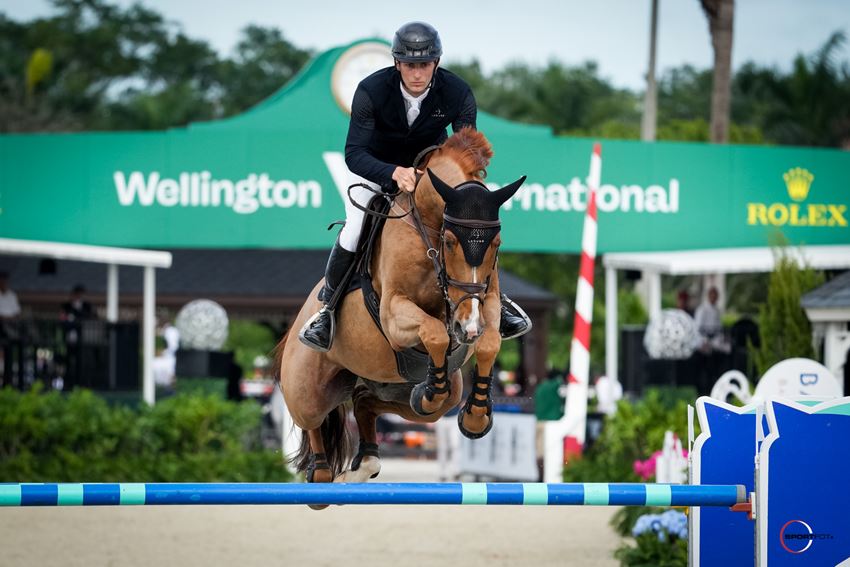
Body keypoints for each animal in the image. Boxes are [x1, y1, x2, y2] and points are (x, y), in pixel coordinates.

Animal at [274, 130, 520, 492]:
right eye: (450, 241)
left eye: (496, 244)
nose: (467, 328)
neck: (429, 228)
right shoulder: (393, 312)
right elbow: (434, 331)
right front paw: (435, 390)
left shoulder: (484, 301)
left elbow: (489, 342)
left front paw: (475, 416)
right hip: (307, 390)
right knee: (313, 421)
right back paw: (321, 475)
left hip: (403, 391)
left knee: (369, 402)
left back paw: (365, 462)